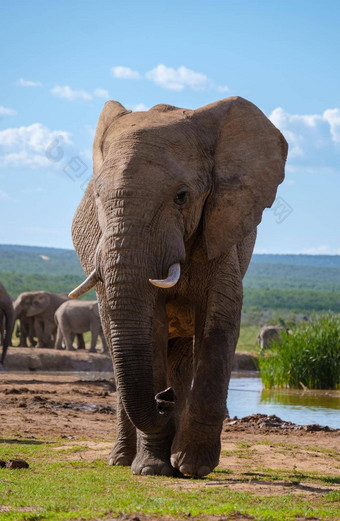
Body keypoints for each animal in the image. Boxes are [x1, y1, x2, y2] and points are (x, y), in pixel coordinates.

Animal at [70, 96, 288, 476]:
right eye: (96, 196)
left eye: (181, 196)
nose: (163, 398)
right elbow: (152, 330)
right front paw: (151, 469)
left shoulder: (221, 227)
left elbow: (219, 322)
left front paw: (192, 467)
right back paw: (122, 459)